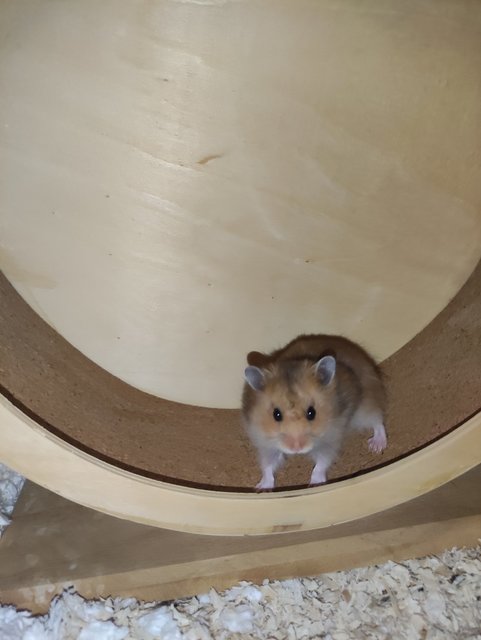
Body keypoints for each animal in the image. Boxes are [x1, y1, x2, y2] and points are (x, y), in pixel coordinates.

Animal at [240, 336, 386, 490]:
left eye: (312, 413)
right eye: (276, 414)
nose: (296, 449)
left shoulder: (331, 438)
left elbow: (321, 463)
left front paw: (315, 484)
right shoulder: (266, 442)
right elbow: (268, 466)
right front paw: (261, 488)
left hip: (365, 408)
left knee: (378, 421)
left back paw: (376, 446)